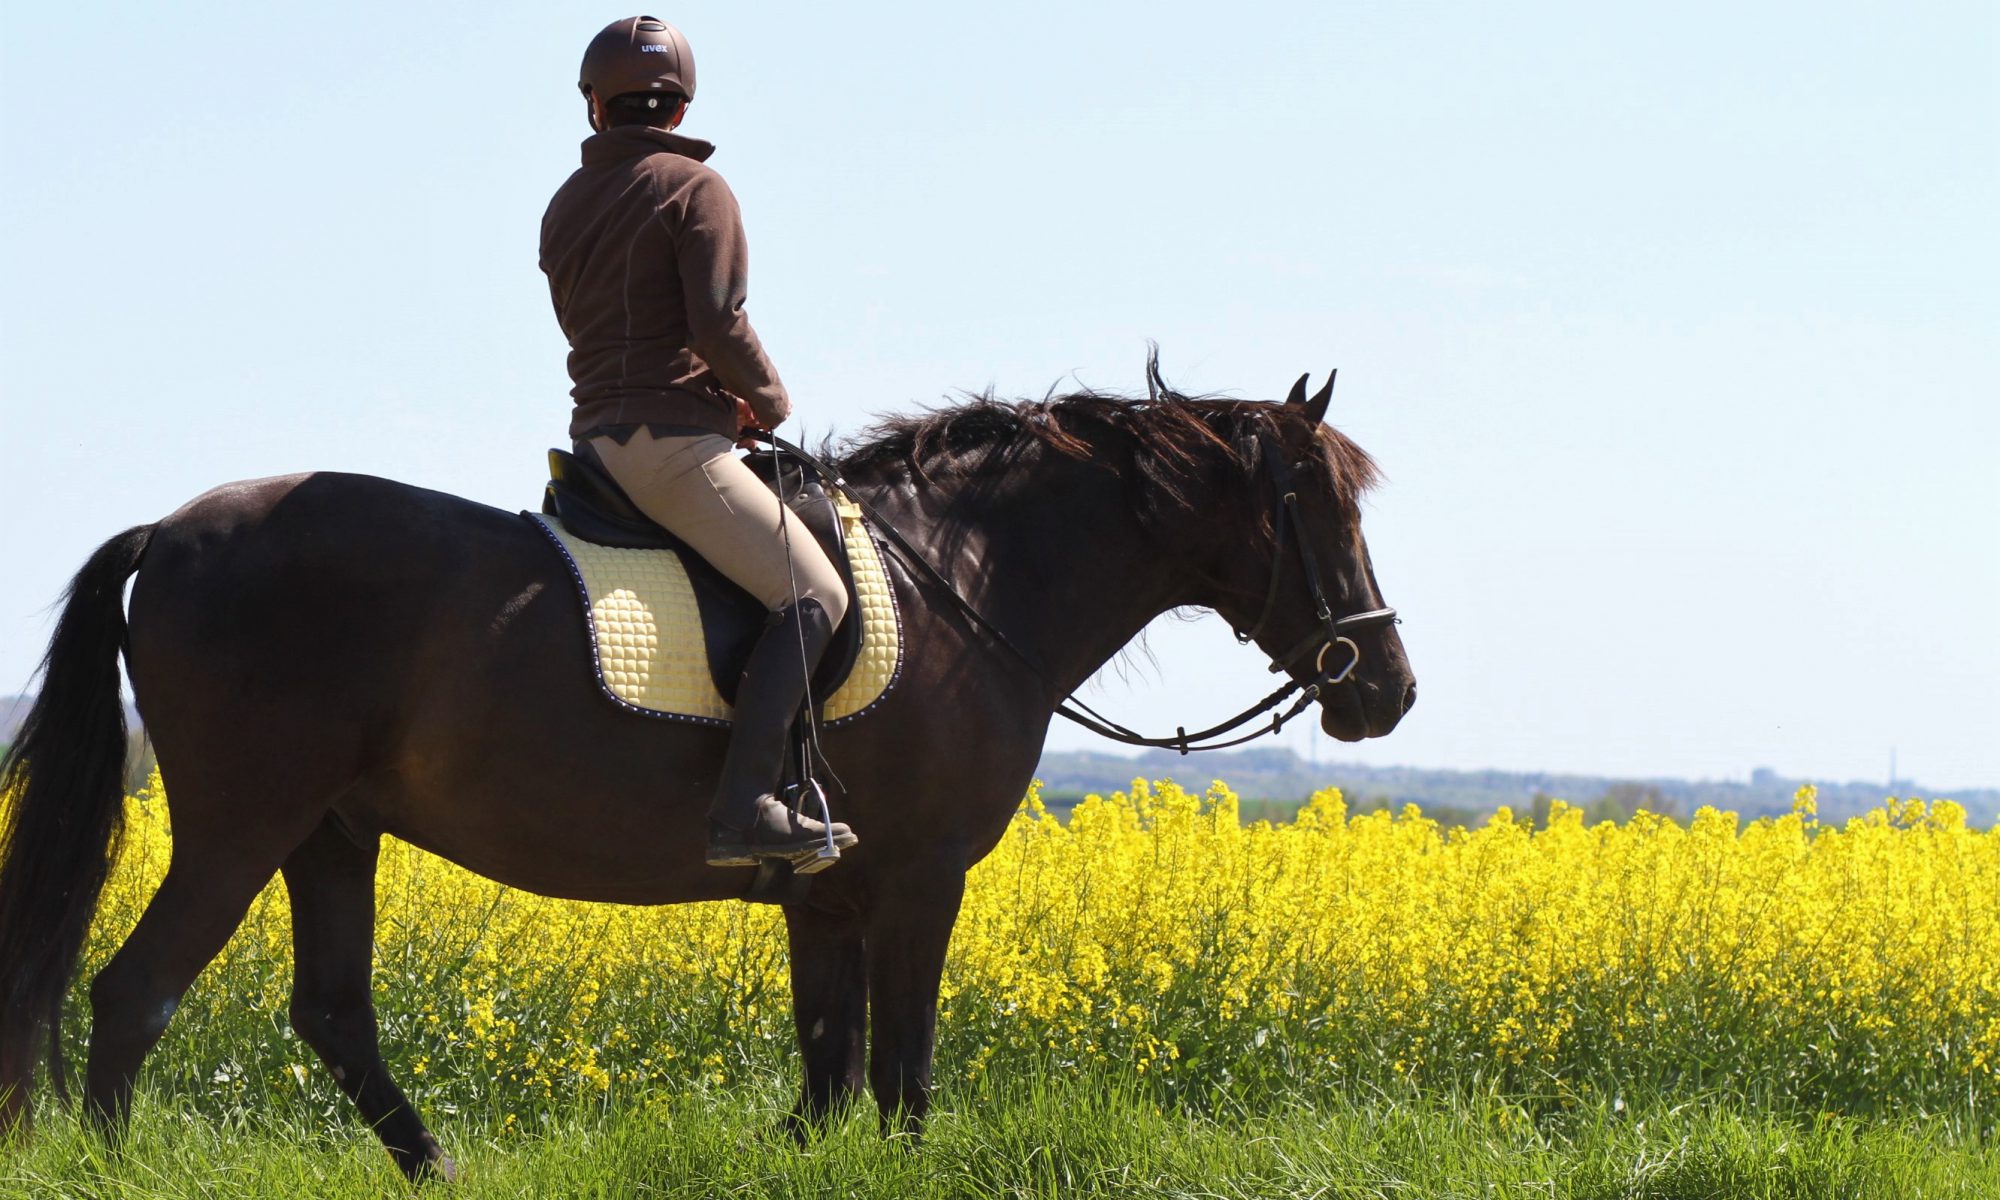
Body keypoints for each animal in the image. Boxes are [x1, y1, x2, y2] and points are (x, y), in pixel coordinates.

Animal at [3, 366, 1408, 1184]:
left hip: (332, 832)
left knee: (330, 1012)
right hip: (243, 824)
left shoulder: (828, 896)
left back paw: (436, 1168)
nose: (1384, 690)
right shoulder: (919, 882)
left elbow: (827, 1068)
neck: (962, 581)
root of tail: (173, 532)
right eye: (1323, 510)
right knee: (135, 993)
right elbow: (899, 1070)